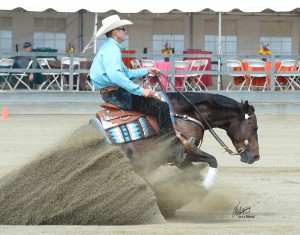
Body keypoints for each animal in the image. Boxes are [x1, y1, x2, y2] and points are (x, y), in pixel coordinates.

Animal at [89, 91, 260, 218]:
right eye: (254, 127)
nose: (256, 156)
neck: (187, 114)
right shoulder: (185, 151)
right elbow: (213, 161)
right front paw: (203, 189)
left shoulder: (181, 159)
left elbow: (194, 172)